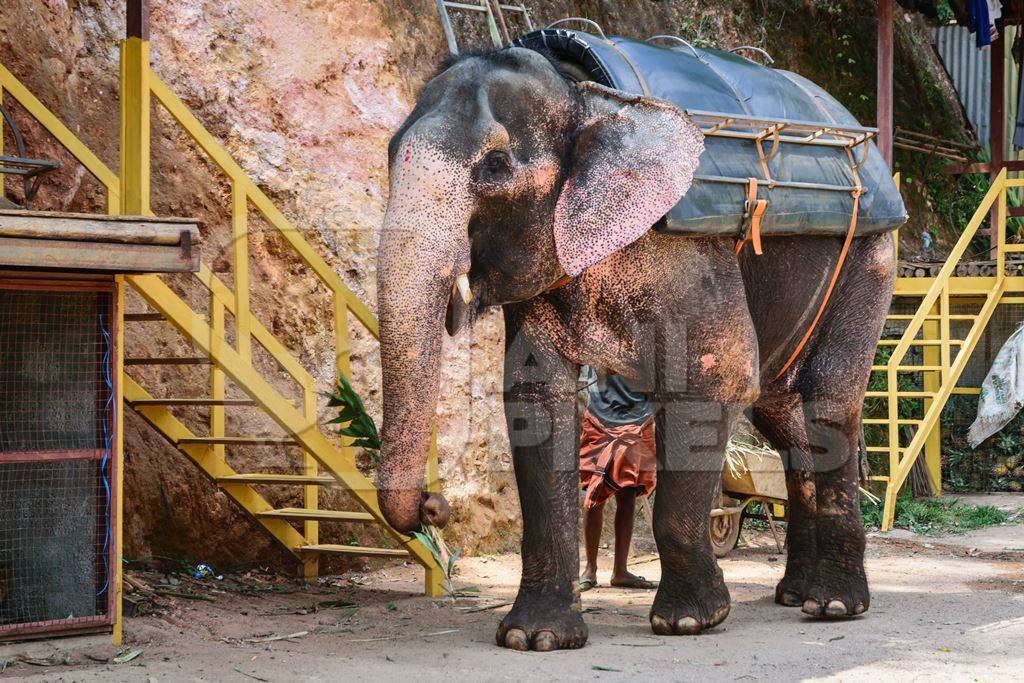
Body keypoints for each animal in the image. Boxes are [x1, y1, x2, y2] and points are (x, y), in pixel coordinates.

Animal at [372, 48, 892, 651]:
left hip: (870, 257)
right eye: (389, 154)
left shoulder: (689, 251)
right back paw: (794, 595)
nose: (435, 505)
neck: (582, 95)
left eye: (495, 167)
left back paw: (832, 605)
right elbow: (534, 400)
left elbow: (715, 378)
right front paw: (535, 638)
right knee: (782, 416)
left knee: (826, 402)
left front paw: (689, 622)